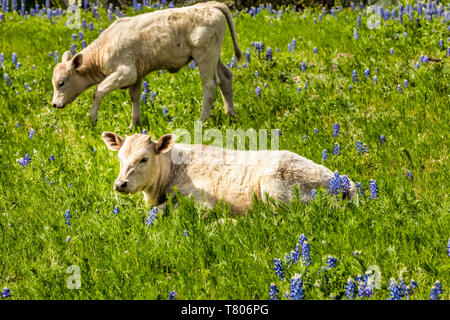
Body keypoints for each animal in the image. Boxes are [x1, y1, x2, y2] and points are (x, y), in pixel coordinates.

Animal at [51, 2, 241, 129]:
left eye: (61, 83)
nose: (54, 104)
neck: (104, 48)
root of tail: (210, 5)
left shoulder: (125, 72)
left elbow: (99, 91)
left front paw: (93, 119)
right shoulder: (136, 75)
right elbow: (134, 97)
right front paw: (133, 125)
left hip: (204, 56)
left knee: (209, 85)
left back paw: (201, 120)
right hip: (214, 57)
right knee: (225, 78)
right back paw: (230, 115)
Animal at [101, 131, 356, 214]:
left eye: (143, 159)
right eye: (120, 158)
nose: (120, 184)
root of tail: (344, 182)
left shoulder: (202, 201)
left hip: (275, 189)